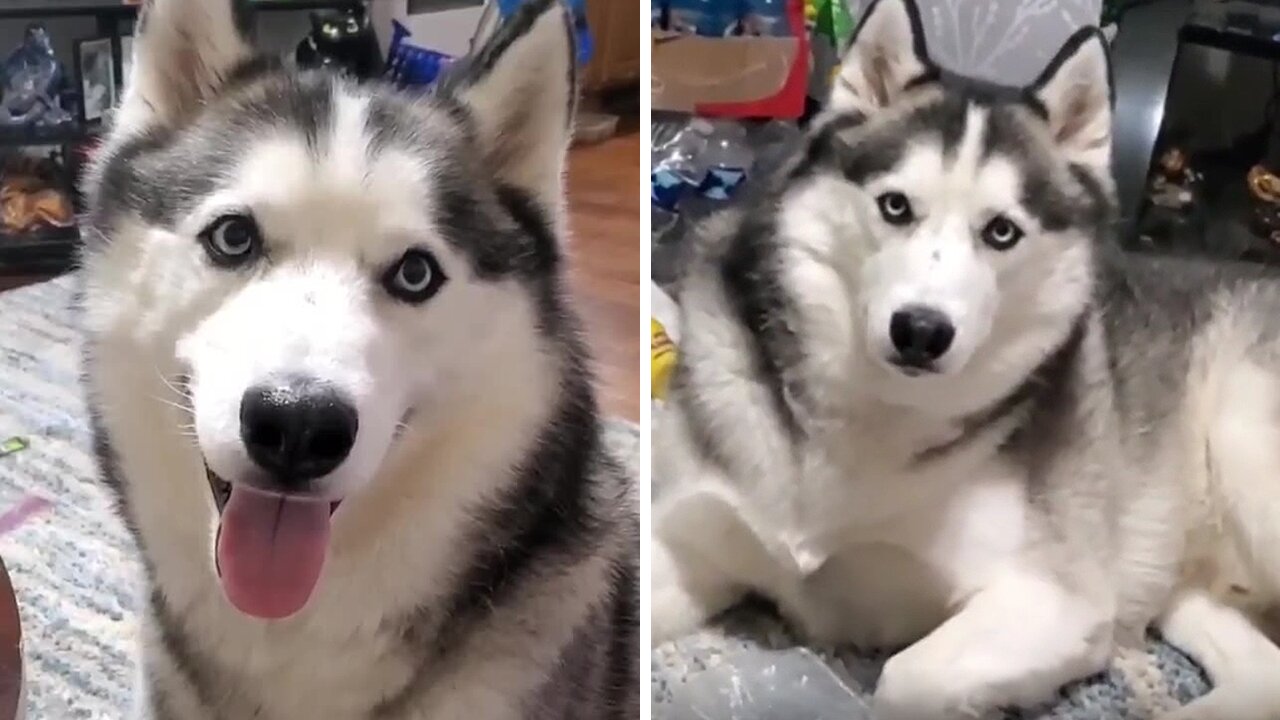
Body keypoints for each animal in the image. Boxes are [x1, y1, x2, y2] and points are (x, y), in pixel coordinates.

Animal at [655, 1, 1280, 717]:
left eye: (1001, 231)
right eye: (895, 206)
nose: (921, 332)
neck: (873, 415)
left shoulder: (1055, 602)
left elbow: (905, 678)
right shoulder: (687, 537)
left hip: (1243, 446)